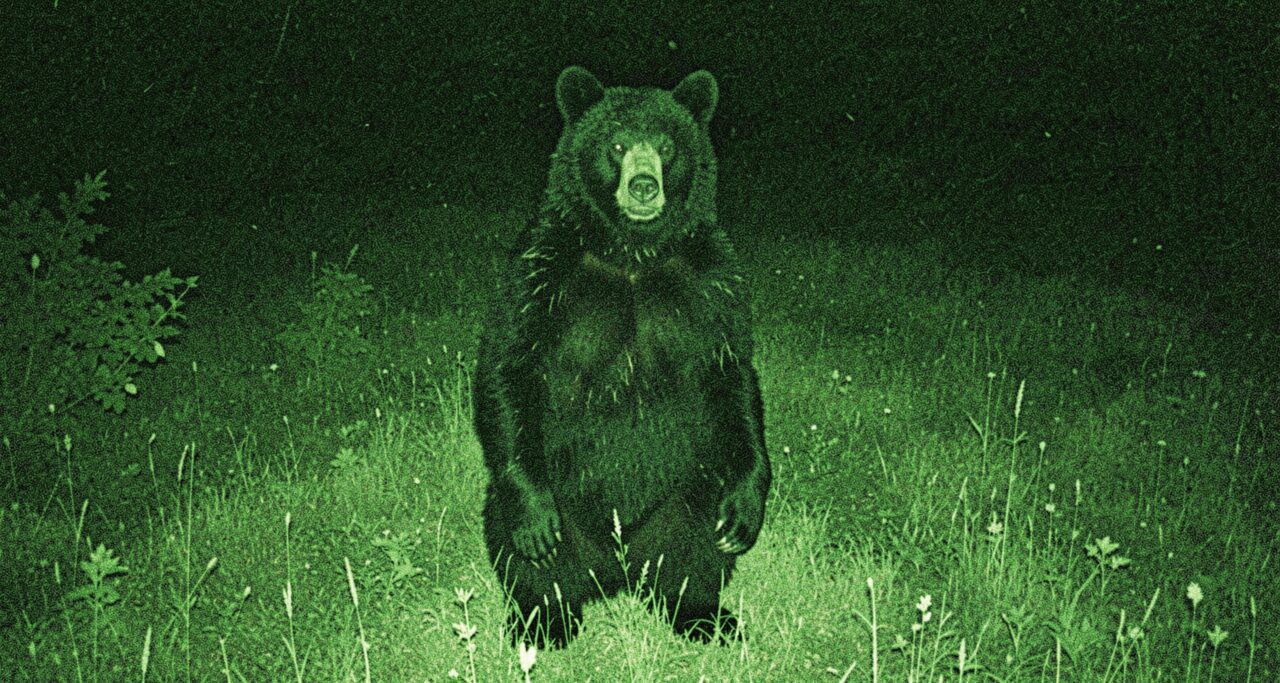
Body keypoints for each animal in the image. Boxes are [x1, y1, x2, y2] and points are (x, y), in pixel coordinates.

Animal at [473, 66, 770, 649]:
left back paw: (700, 613)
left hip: (683, 491)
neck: (631, 251)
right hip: (563, 498)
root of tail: (616, 571)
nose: (643, 185)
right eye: (616, 144)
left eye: (665, 145)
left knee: (695, 542)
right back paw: (545, 618)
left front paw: (746, 505)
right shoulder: (541, 271)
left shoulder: (712, 281)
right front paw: (534, 525)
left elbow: (730, 371)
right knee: (521, 545)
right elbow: (510, 363)